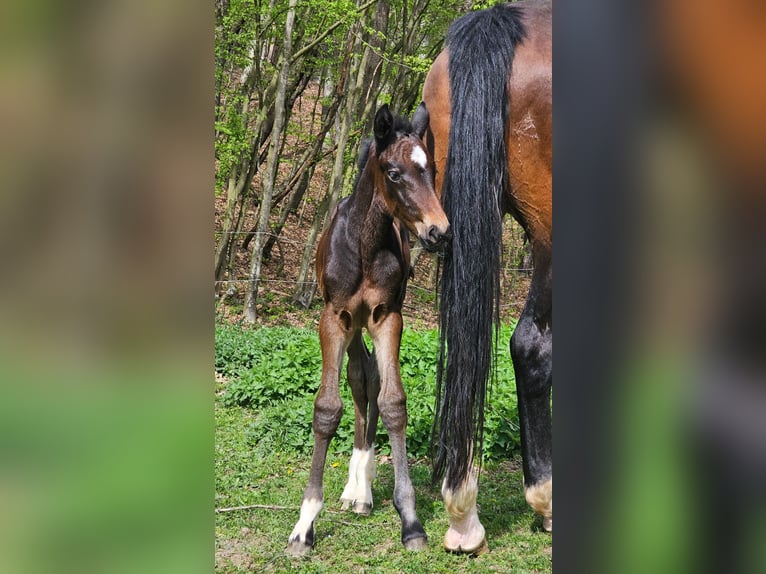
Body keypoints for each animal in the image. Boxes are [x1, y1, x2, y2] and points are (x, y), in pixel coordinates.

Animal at [290, 103, 456, 560]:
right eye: (394, 172)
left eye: (431, 168)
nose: (439, 232)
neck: (363, 244)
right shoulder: (335, 317)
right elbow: (327, 409)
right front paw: (304, 524)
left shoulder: (387, 316)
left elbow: (393, 401)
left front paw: (411, 521)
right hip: (352, 326)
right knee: (359, 376)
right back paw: (354, 488)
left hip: (369, 323)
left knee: (371, 379)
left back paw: (360, 489)